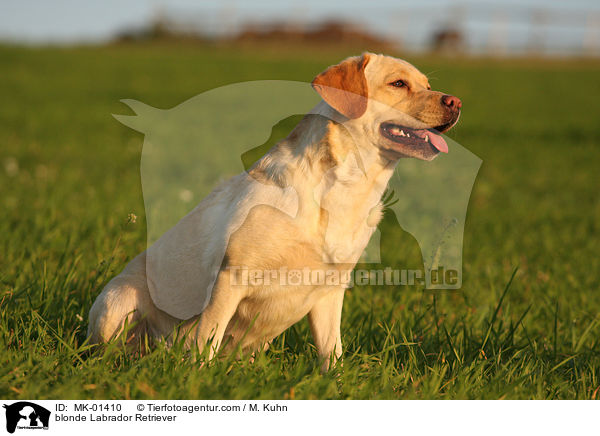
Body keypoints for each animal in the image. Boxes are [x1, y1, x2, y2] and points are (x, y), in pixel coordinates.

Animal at [86, 52, 462, 370]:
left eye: (428, 86)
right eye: (398, 84)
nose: (456, 102)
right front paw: (198, 379)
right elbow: (207, 341)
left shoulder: (330, 290)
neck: (346, 188)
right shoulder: (230, 278)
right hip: (117, 302)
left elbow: (332, 352)